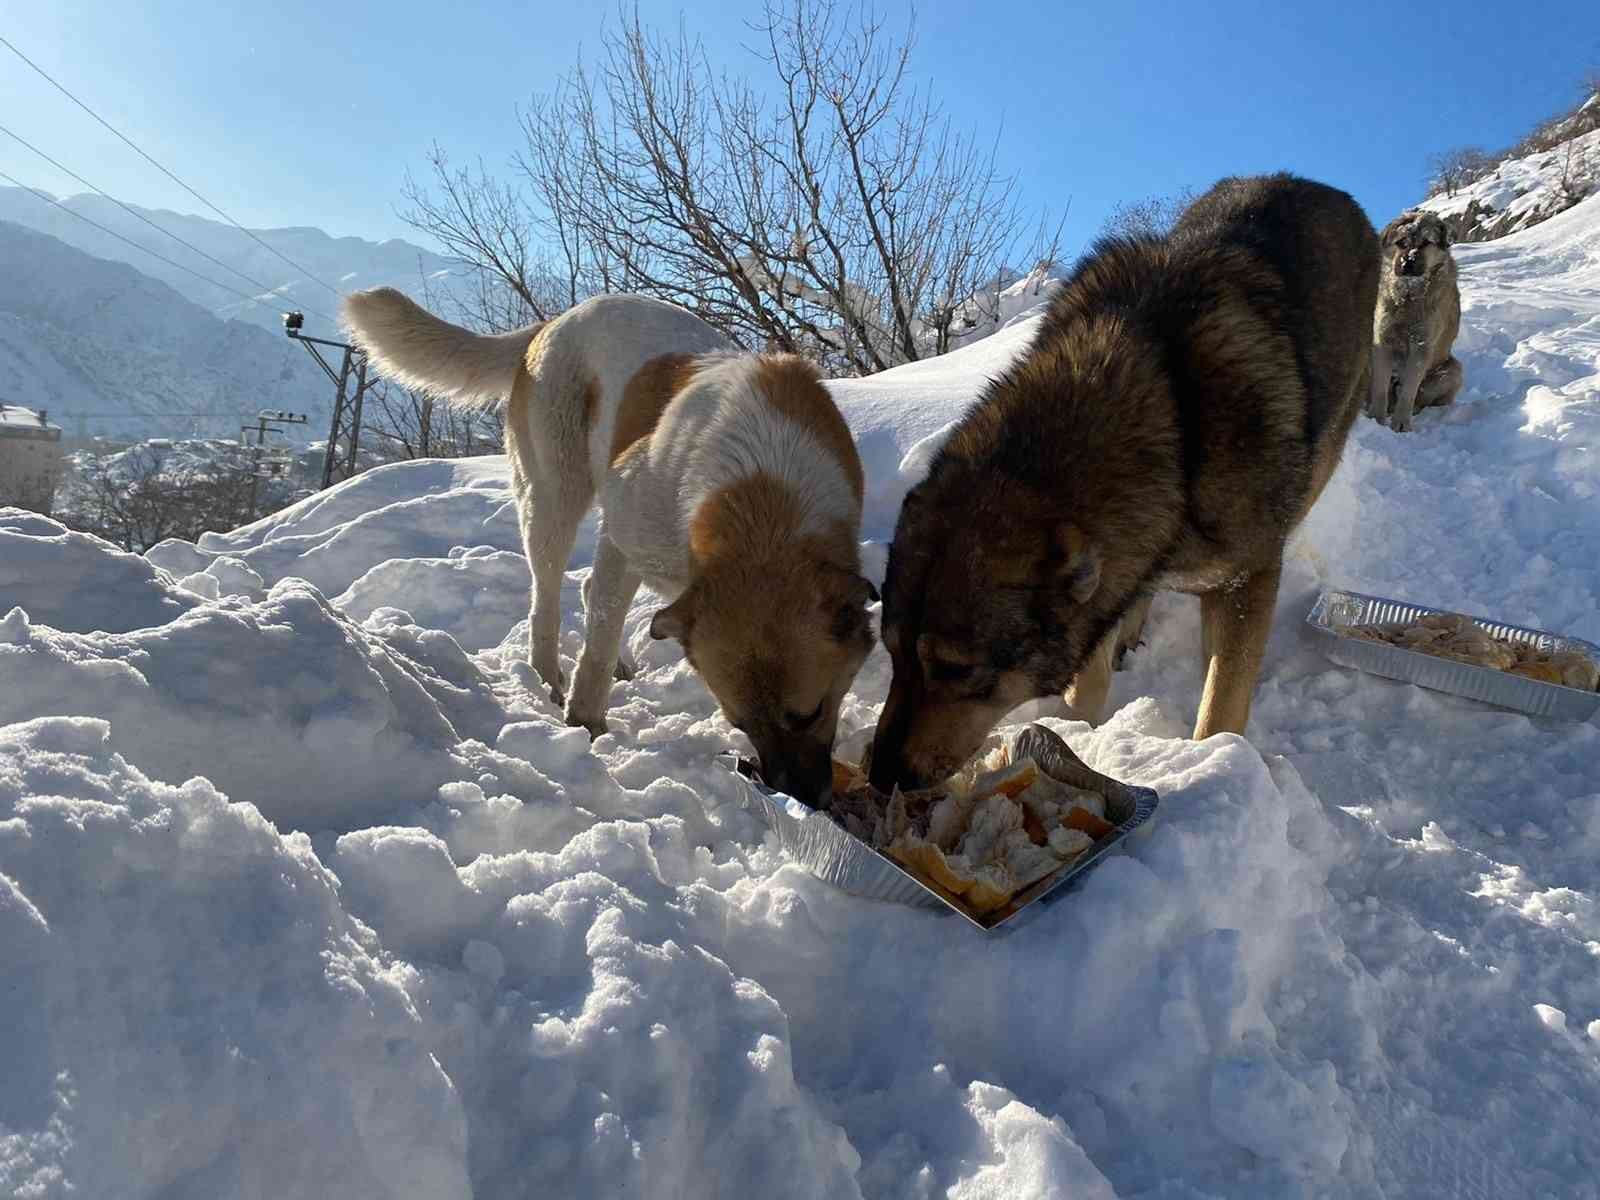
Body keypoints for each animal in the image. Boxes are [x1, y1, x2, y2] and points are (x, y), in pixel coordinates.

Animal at [339, 289, 883, 800]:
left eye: (811, 713)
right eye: (739, 724)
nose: (801, 796)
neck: (760, 496)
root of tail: (550, 324)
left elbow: (603, 615)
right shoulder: (626, 534)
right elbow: (596, 639)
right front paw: (585, 722)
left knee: (583, 592)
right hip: (555, 499)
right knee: (548, 600)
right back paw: (547, 678)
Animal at [870, 173, 1382, 793]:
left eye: (954, 669)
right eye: (890, 652)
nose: (879, 775)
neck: (1173, 417)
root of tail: (1318, 184)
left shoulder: (1247, 576)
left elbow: (1221, 704)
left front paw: (1217, 765)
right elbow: (1089, 673)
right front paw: (1076, 730)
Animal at [1376, 211, 1465, 432]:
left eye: (1426, 242)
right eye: (1401, 242)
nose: (1407, 263)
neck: (1409, 297)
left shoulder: (1422, 345)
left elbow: (1409, 389)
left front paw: (1400, 424)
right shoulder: (1382, 340)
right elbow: (1379, 387)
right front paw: (1376, 419)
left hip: (1452, 370)